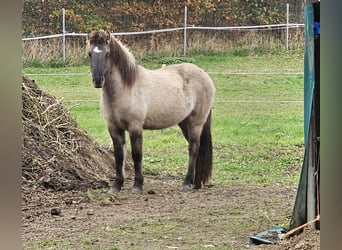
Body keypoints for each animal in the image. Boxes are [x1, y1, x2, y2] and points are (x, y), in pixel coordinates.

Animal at [87, 30, 215, 195]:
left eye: (107, 54)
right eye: (90, 53)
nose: (98, 81)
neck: (125, 89)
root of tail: (205, 76)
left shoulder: (135, 127)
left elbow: (137, 155)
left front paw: (137, 186)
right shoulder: (114, 128)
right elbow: (119, 156)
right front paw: (116, 185)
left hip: (196, 123)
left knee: (193, 148)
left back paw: (186, 183)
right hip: (184, 123)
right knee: (196, 148)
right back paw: (196, 183)